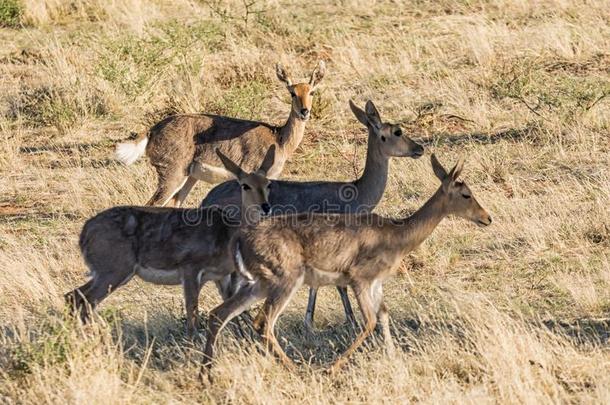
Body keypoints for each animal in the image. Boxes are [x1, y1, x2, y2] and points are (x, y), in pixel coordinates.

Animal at [65, 145, 274, 334]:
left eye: (268, 184)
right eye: (245, 185)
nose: (265, 207)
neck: (226, 232)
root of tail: (85, 233)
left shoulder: (220, 277)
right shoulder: (191, 271)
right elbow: (192, 314)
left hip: (108, 274)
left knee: (73, 296)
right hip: (113, 273)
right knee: (84, 300)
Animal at [113, 61, 324, 207]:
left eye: (312, 91)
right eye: (292, 93)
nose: (304, 111)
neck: (278, 139)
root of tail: (152, 131)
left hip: (189, 178)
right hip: (173, 176)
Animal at [200, 99, 422, 330]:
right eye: (397, 131)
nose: (419, 148)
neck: (357, 192)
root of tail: (207, 199)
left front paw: (310, 320)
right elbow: (338, 285)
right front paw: (347, 319)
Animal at [202, 153, 492, 374]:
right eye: (466, 194)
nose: (487, 217)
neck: (396, 234)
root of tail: (240, 238)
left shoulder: (376, 284)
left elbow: (384, 314)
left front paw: (393, 358)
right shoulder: (359, 279)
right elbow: (369, 322)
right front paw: (333, 366)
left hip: (258, 285)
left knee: (219, 314)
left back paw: (207, 372)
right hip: (284, 283)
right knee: (263, 322)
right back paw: (296, 368)